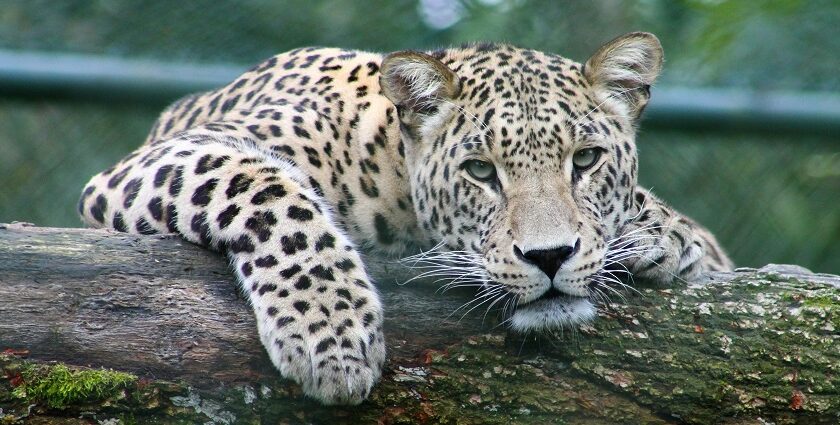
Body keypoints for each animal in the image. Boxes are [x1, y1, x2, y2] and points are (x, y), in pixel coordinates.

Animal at [80, 32, 736, 404]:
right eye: (480, 171)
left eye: (586, 160)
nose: (549, 257)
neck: (389, 169)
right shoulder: (157, 161)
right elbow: (267, 189)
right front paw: (331, 335)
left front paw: (664, 233)